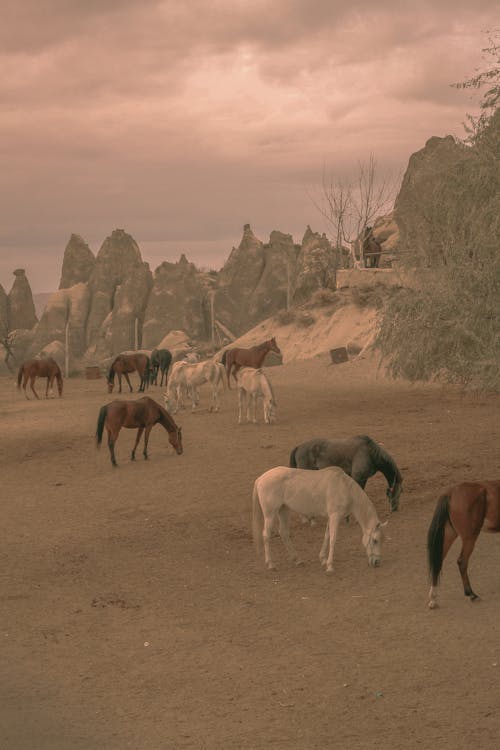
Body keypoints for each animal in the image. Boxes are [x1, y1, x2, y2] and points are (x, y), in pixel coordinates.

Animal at [252, 468, 388, 572]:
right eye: (375, 540)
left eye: (382, 540)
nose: (377, 562)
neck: (344, 487)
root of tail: (260, 479)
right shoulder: (335, 516)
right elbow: (333, 539)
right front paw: (329, 566)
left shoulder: (331, 517)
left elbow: (327, 536)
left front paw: (322, 559)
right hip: (270, 514)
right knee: (266, 535)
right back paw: (271, 564)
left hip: (283, 510)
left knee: (284, 533)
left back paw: (297, 560)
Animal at [426, 482, 500, 612]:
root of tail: (450, 493)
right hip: (469, 539)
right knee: (462, 561)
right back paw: (472, 594)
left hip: (450, 533)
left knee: (438, 561)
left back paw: (433, 600)